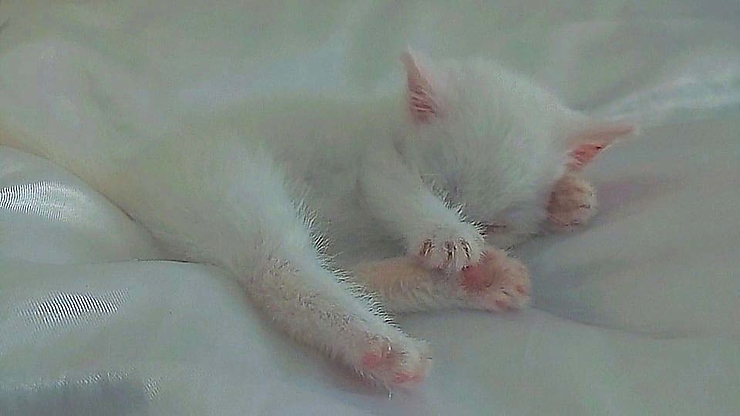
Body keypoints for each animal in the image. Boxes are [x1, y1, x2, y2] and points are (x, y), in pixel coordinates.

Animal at [0, 44, 636, 389]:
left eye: (499, 225)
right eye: (442, 192)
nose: (474, 244)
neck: (383, 118)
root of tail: (133, 171)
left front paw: (568, 198)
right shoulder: (376, 160)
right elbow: (396, 188)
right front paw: (446, 233)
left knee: (348, 274)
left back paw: (476, 284)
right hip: (228, 177)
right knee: (280, 272)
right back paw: (384, 345)